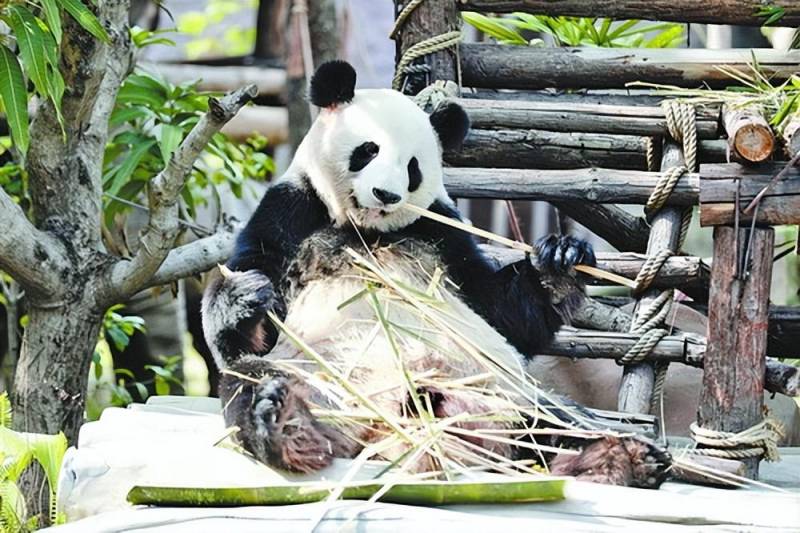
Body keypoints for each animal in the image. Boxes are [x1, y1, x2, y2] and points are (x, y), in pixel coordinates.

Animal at [200, 60, 668, 488]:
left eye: (412, 167)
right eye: (368, 150)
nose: (385, 194)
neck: (366, 231)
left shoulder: (442, 230)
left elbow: (503, 313)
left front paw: (560, 258)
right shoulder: (292, 209)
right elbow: (248, 327)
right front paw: (246, 296)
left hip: (502, 388)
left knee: (557, 422)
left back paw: (619, 457)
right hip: (327, 383)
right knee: (254, 381)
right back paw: (285, 424)